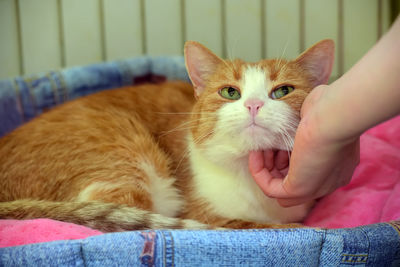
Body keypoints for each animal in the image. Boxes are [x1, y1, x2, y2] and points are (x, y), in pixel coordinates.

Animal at [0, 39, 332, 232]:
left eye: (283, 91)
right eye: (230, 92)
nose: (253, 104)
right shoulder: (211, 217)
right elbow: (253, 226)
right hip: (126, 158)